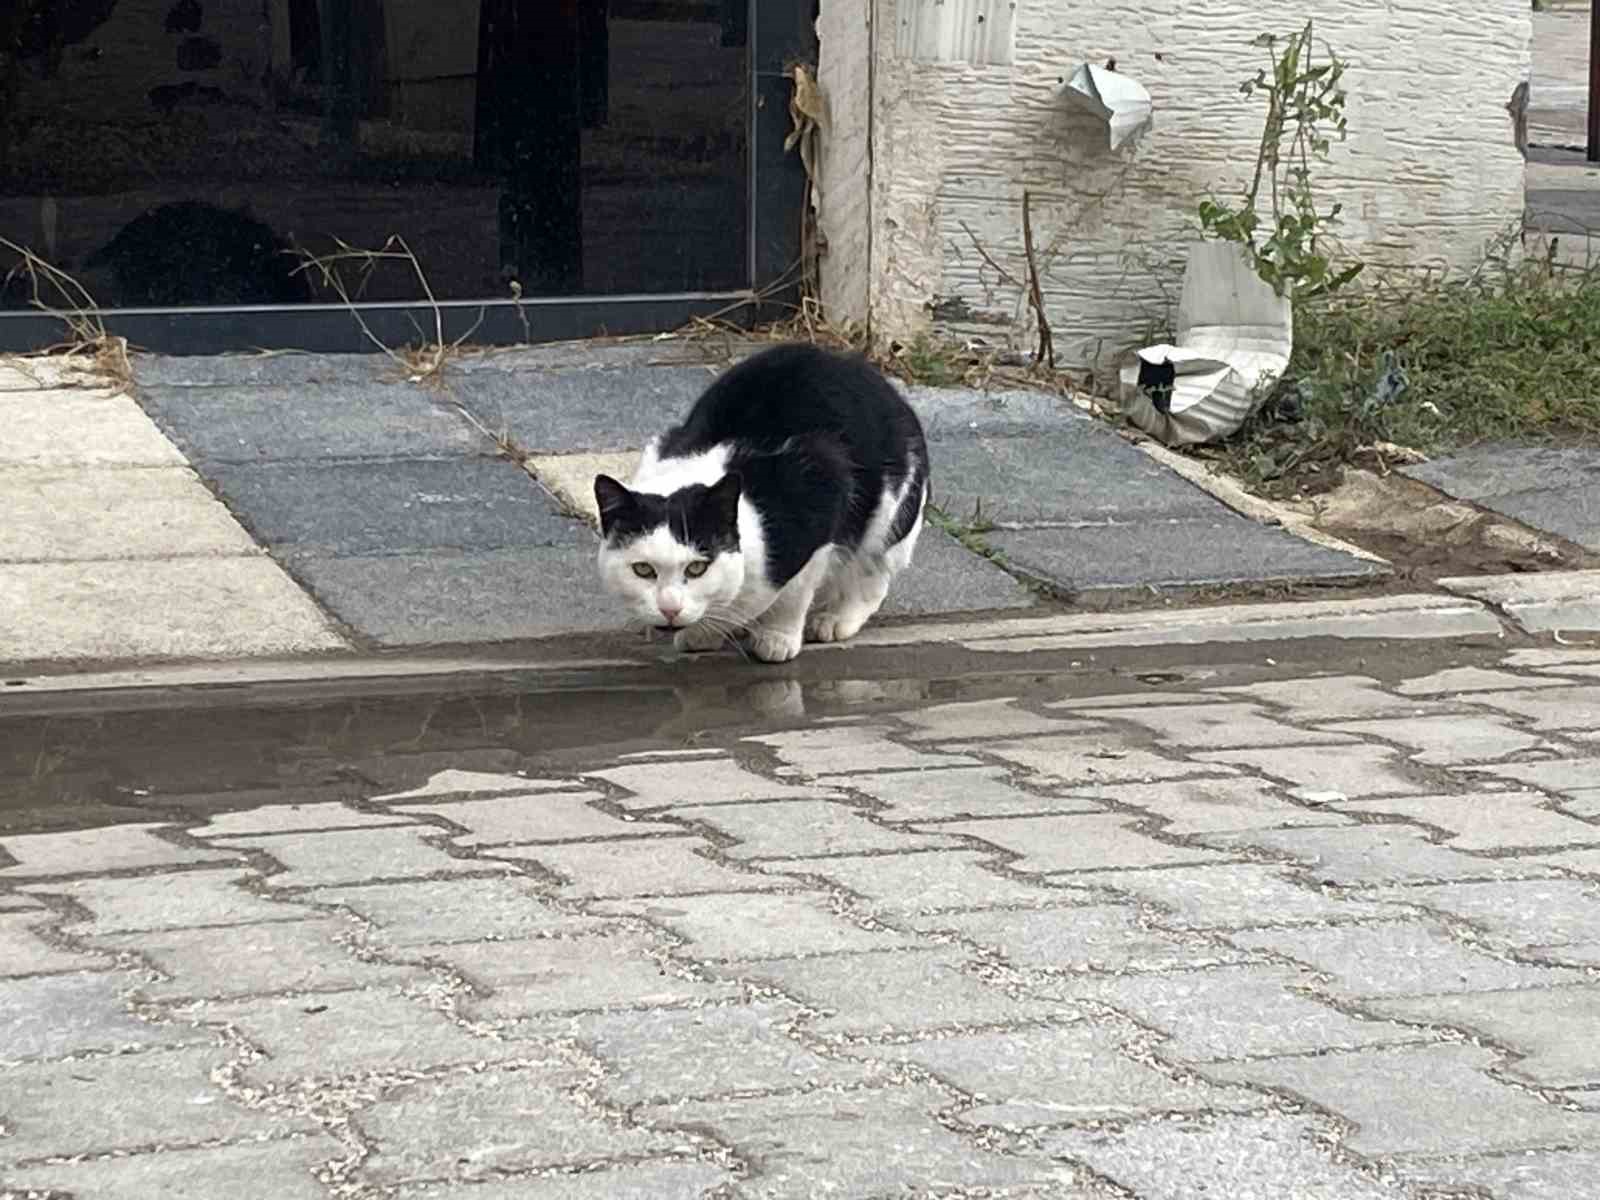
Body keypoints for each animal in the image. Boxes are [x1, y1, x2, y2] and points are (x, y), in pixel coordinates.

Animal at [598, 345, 928, 668]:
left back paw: (836, 618)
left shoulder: (823, 494)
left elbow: (794, 593)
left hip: (890, 515)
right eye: (642, 569)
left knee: (872, 575)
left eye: (696, 568)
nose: (669, 609)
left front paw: (777, 637)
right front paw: (705, 632)